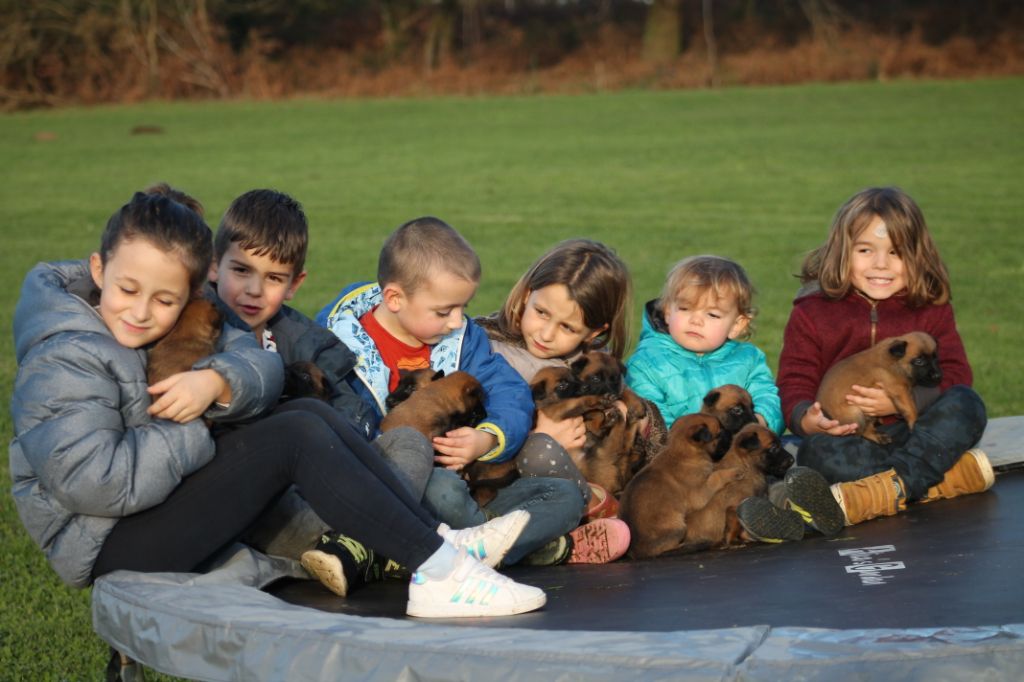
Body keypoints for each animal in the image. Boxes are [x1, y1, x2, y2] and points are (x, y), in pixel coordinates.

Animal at [614, 411, 745, 561]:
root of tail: (636, 552)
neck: (683, 452)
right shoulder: (701, 492)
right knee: (666, 549)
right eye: (719, 434)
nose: (731, 432)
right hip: (679, 528)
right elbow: (716, 476)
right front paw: (734, 472)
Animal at [684, 419, 794, 548]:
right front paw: (733, 542)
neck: (747, 468)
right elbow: (734, 528)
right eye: (773, 448)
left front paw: (748, 538)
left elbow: (744, 527)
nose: (792, 459)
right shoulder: (735, 508)